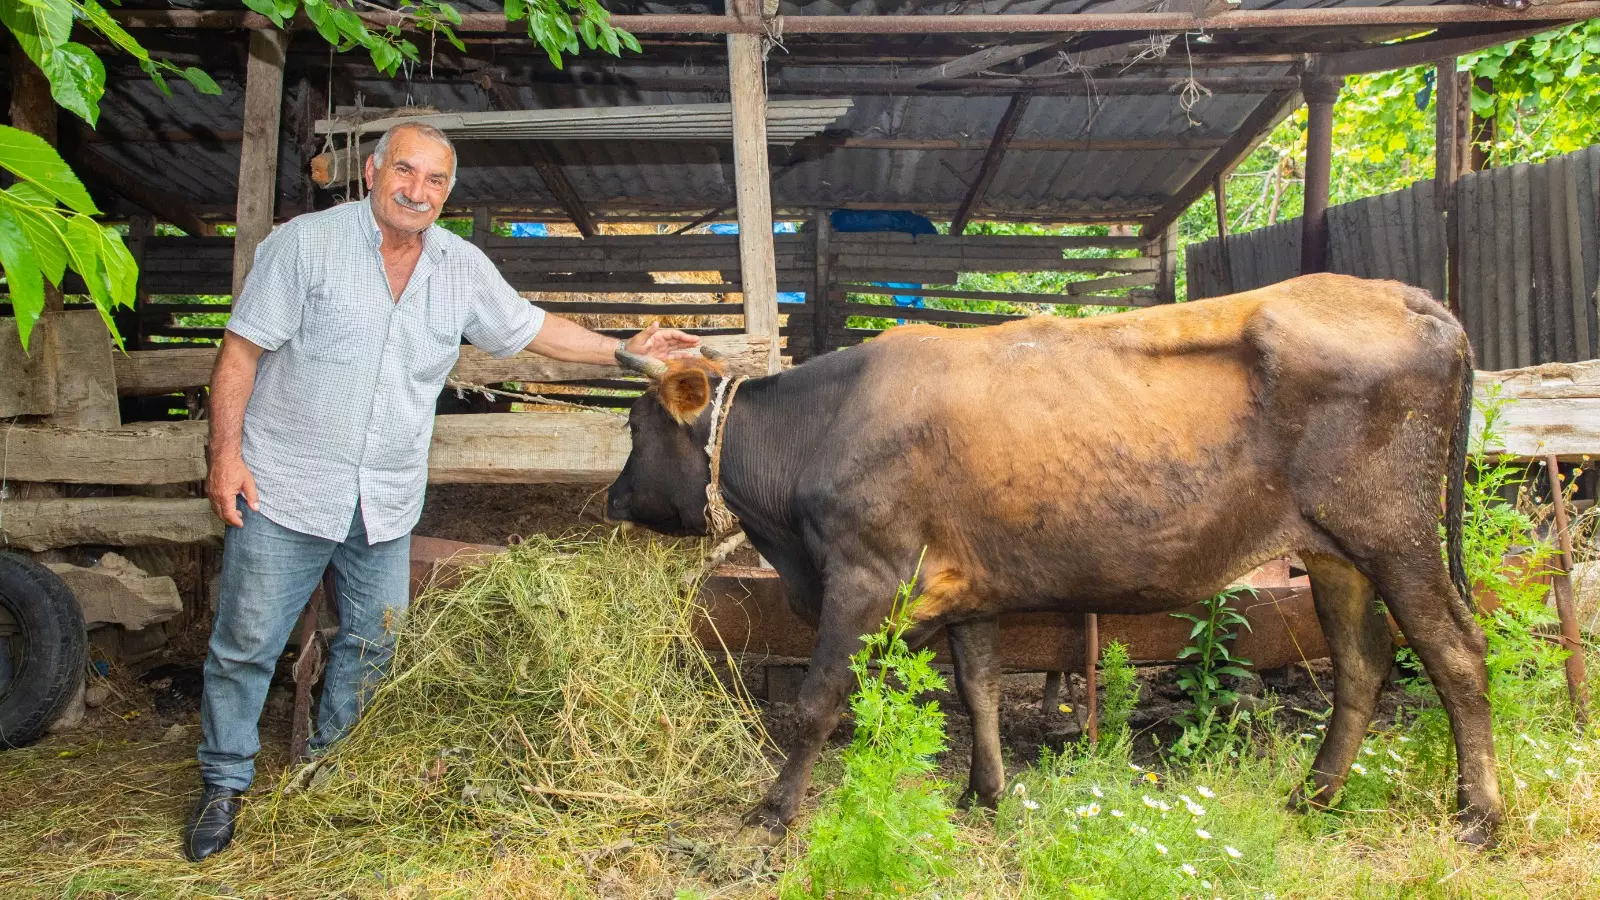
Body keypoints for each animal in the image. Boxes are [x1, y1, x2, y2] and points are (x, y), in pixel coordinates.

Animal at [601, 272, 1497, 839]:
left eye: (635, 426)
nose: (611, 499)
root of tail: (1400, 294)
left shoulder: (862, 577)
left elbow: (819, 697)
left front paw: (774, 809)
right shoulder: (966, 587)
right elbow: (981, 691)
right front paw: (985, 792)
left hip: (1396, 535)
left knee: (1455, 652)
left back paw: (1477, 815)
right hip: (1337, 553)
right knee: (1363, 660)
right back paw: (1314, 795)